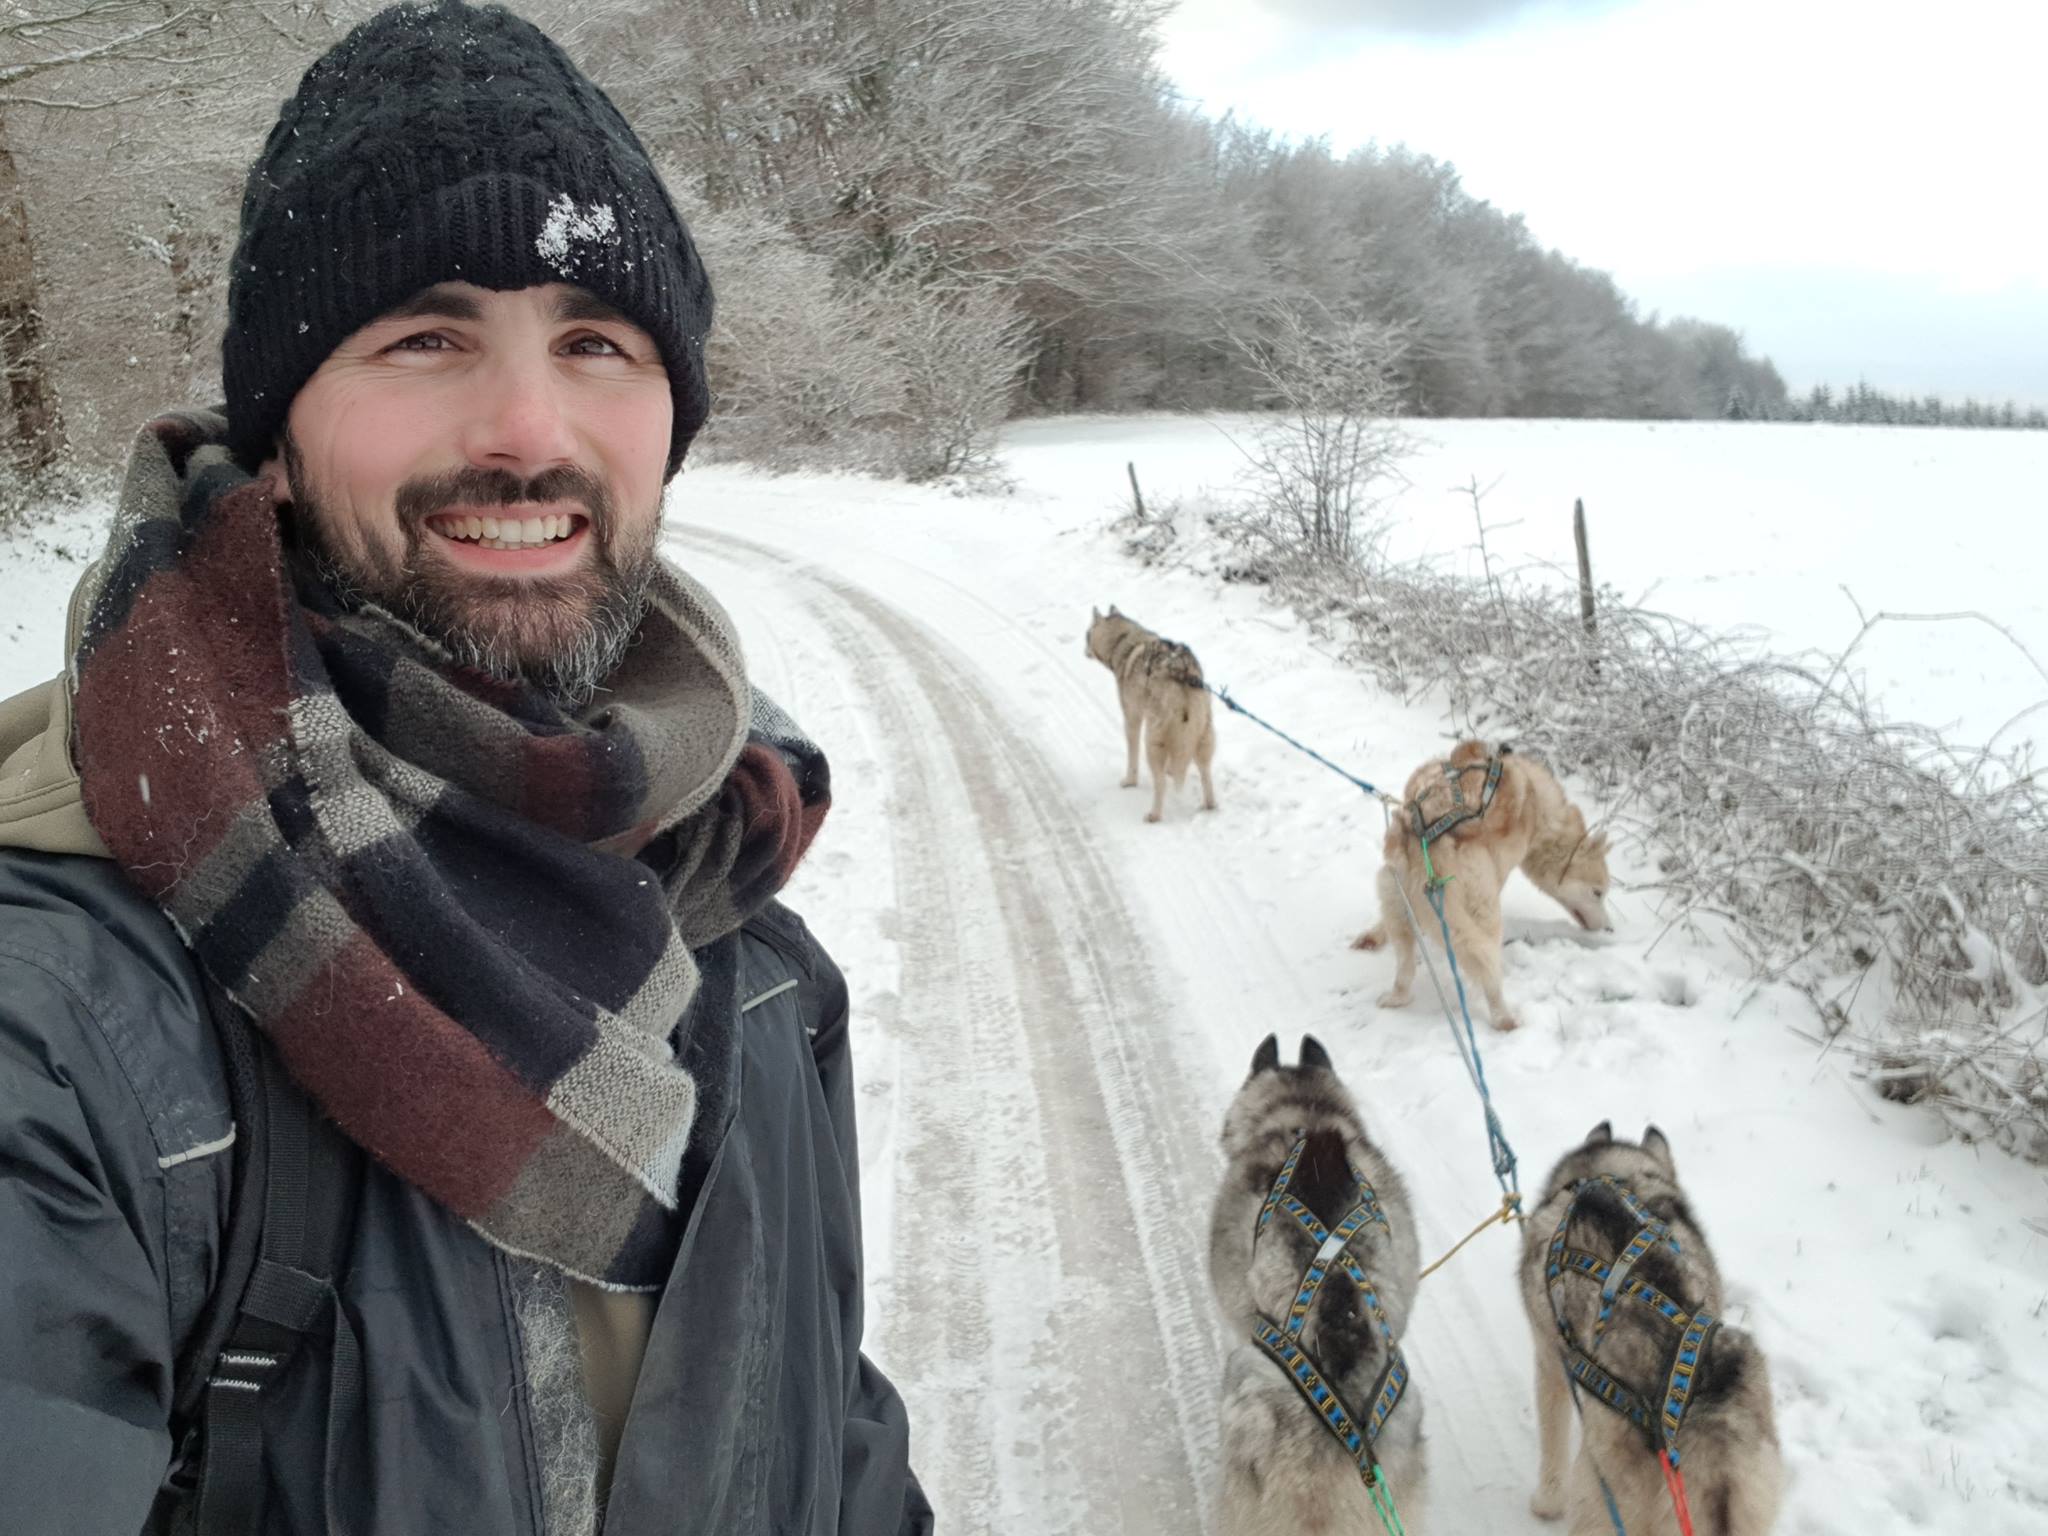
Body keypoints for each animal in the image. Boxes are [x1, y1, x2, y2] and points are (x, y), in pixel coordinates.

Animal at [1359, 745, 1613, 1036]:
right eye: (1598, 893)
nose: (1609, 928)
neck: (1538, 804)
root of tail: (1424, 835)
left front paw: (1373, 936)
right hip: (1482, 914)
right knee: (1488, 972)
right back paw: (1505, 1019)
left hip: (1394, 896)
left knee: (1404, 968)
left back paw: (1396, 996)